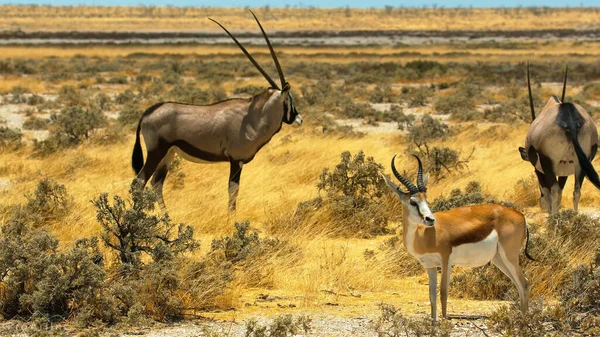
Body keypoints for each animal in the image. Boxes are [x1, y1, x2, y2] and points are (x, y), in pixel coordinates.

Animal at [129, 11, 302, 211]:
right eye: (290, 99)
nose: (299, 118)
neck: (254, 116)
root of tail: (147, 113)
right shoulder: (236, 160)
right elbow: (233, 191)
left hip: (168, 154)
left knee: (156, 182)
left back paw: (166, 216)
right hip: (156, 151)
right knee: (139, 182)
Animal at [382, 156, 532, 322]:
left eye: (426, 199)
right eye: (413, 201)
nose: (430, 219)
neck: (424, 236)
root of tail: (521, 216)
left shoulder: (446, 261)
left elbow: (443, 293)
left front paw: (444, 322)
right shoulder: (430, 266)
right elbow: (432, 296)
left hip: (509, 256)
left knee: (524, 283)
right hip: (499, 259)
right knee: (519, 285)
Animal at [516, 63, 596, 213]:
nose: (540, 203)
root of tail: (569, 119)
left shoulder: (540, 169)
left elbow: (548, 191)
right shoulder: (564, 169)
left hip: (549, 163)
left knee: (555, 190)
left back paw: (554, 216)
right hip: (581, 164)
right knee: (576, 190)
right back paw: (575, 215)